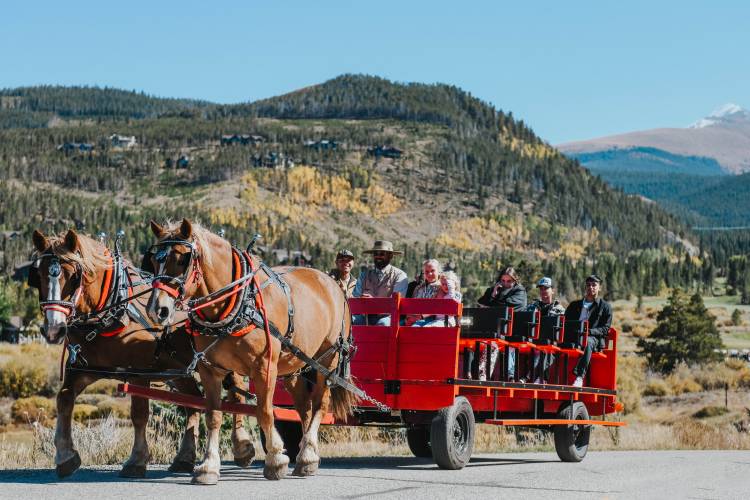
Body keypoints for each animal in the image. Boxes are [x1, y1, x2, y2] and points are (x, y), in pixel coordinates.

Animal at [30, 229, 256, 478]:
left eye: (73, 275)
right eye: (37, 274)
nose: (54, 329)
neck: (114, 307)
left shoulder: (139, 371)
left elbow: (139, 414)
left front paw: (136, 460)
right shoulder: (82, 368)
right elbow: (64, 400)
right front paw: (65, 456)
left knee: (236, 394)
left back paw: (242, 447)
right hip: (178, 369)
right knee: (193, 403)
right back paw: (184, 457)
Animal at [147, 220, 358, 484]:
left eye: (182, 259)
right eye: (152, 259)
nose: (157, 310)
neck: (238, 302)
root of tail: (332, 285)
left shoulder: (264, 366)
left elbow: (265, 412)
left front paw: (276, 459)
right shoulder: (210, 369)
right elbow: (213, 415)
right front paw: (208, 466)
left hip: (328, 359)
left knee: (320, 403)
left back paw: (307, 452)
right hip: (293, 364)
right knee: (304, 406)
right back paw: (307, 459)